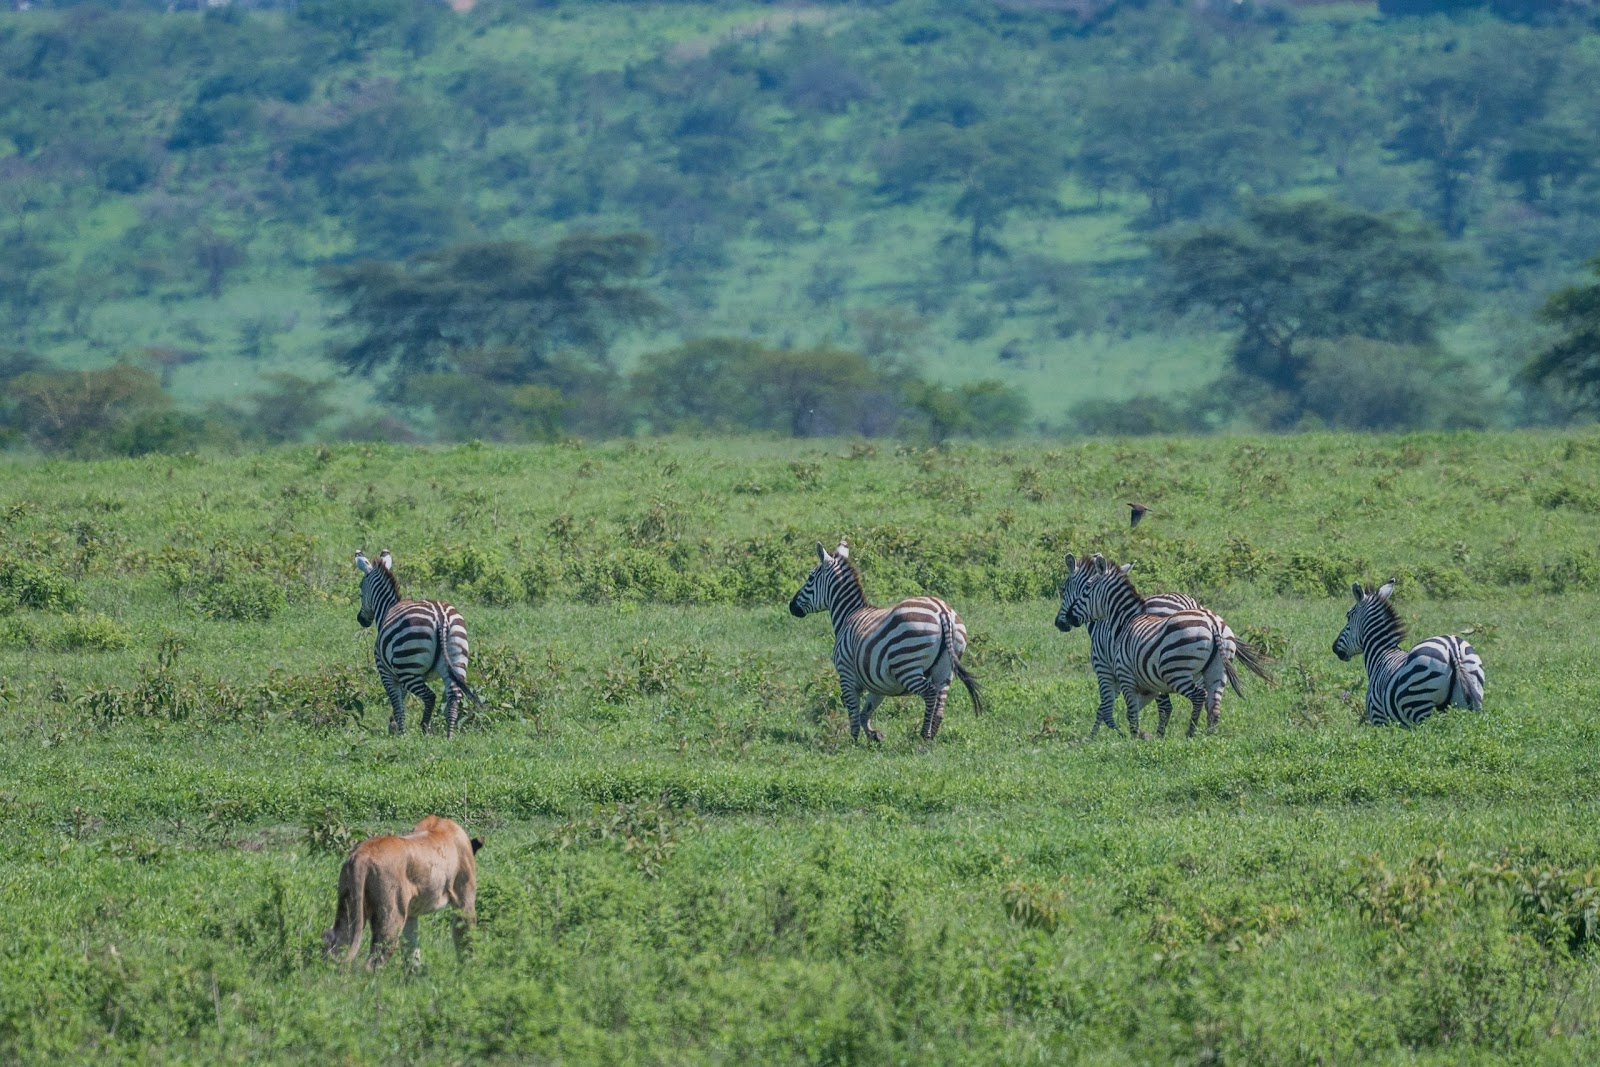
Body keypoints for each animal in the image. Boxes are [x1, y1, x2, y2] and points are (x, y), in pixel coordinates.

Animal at [322, 815, 483, 969]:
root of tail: (362, 855)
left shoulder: (411, 914)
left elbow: (411, 948)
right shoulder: (465, 900)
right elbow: (466, 937)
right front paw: (469, 968)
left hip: (348, 908)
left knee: (337, 946)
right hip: (392, 914)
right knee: (373, 961)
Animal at [354, 549, 483, 739]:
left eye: (360, 589)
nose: (360, 620)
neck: (387, 608)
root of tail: (441, 616)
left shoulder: (387, 672)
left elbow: (397, 701)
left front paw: (400, 732)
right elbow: (403, 697)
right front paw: (394, 725)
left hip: (408, 665)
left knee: (430, 697)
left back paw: (424, 730)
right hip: (456, 660)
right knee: (453, 697)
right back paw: (449, 736)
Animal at [789, 540, 983, 741]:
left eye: (810, 578)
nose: (791, 606)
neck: (849, 614)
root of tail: (942, 611)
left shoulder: (846, 675)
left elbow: (854, 714)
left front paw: (853, 743)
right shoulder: (878, 684)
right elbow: (865, 712)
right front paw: (875, 735)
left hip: (907, 664)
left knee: (930, 693)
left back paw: (922, 736)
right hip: (945, 669)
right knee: (940, 704)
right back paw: (930, 738)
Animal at [1055, 552, 1273, 736]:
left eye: (1067, 588)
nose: (1062, 621)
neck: (1124, 620)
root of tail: (1211, 621)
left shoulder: (1111, 671)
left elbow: (1115, 710)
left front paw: (1125, 738)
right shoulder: (1141, 680)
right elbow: (1124, 709)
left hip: (1175, 670)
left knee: (1195, 697)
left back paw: (1188, 733)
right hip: (1217, 669)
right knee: (1213, 704)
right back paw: (1209, 735)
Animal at [1334, 579, 1485, 727]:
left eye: (1348, 617)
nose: (1334, 648)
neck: (1382, 654)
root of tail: (1452, 647)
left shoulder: (1379, 718)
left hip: (1420, 703)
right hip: (1468, 701)